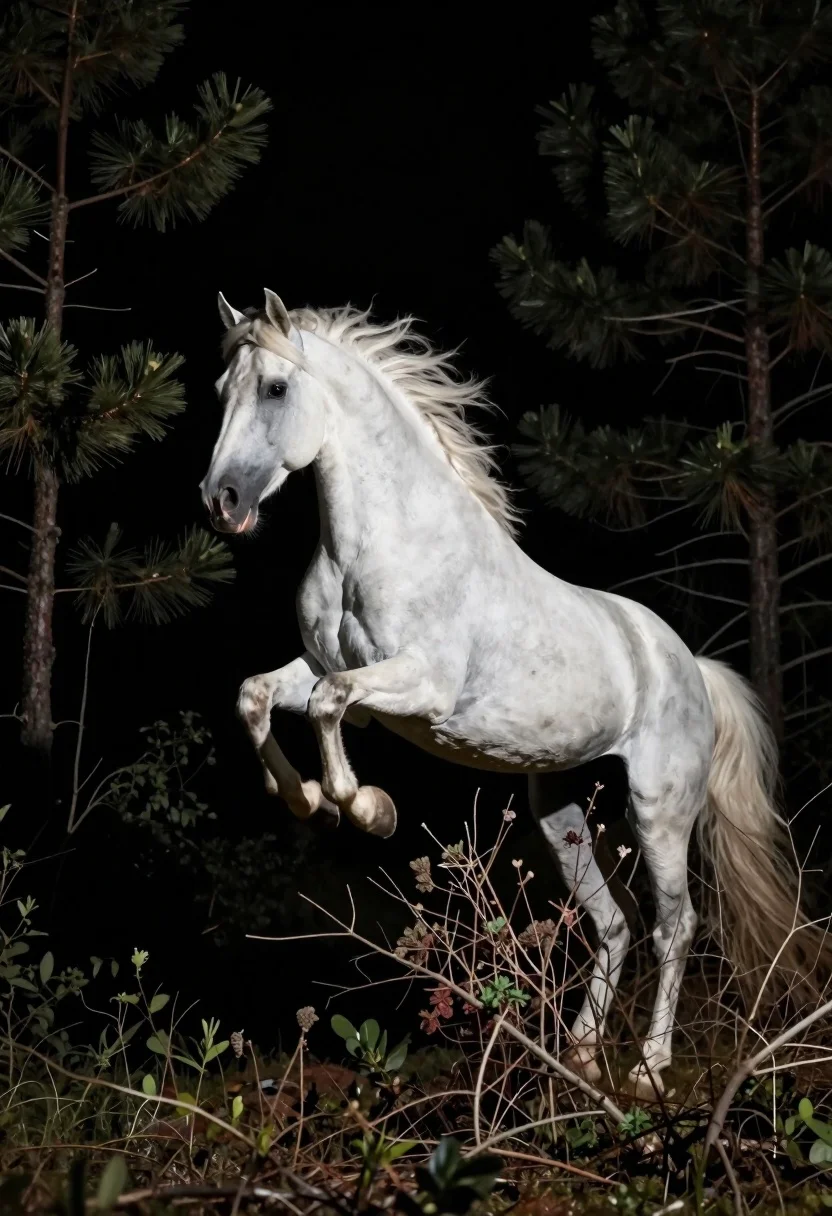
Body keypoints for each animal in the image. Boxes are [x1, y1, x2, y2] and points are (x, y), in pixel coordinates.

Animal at [200, 289, 812, 1095]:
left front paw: (368, 809)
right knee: (614, 922)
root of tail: (691, 667)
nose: (222, 499)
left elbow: (331, 702)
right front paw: (303, 800)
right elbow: (255, 695)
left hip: (659, 808)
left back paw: (648, 1071)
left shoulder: (420, 688)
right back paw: (580, 1058)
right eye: (221, 391)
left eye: (274, 388)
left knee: (674, 925)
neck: (381, 541)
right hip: (559, 811)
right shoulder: (316, 665)